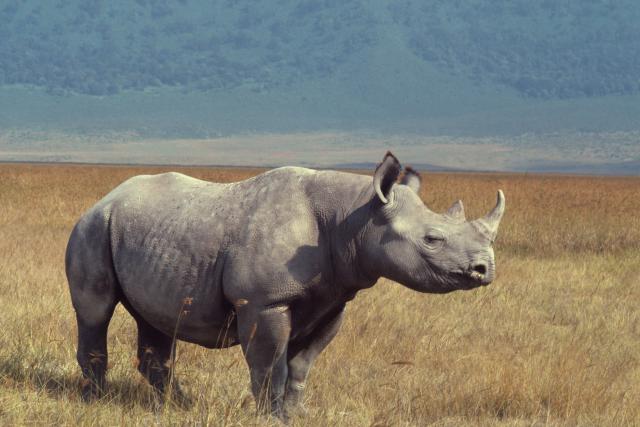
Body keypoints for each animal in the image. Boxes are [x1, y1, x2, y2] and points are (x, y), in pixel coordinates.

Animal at [66, 152, 505, 420]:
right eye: (432, 239)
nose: (485, 269)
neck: (353, 216)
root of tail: (105, 197)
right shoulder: (264, 301)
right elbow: (268, 363)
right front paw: (267, 416)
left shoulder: (333, 300)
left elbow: (300, 366)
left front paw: (295, 415)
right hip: (93, 227)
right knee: (96, 310)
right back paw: (94, 400)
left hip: (143, 232)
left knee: (156, 319)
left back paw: (178, 405)